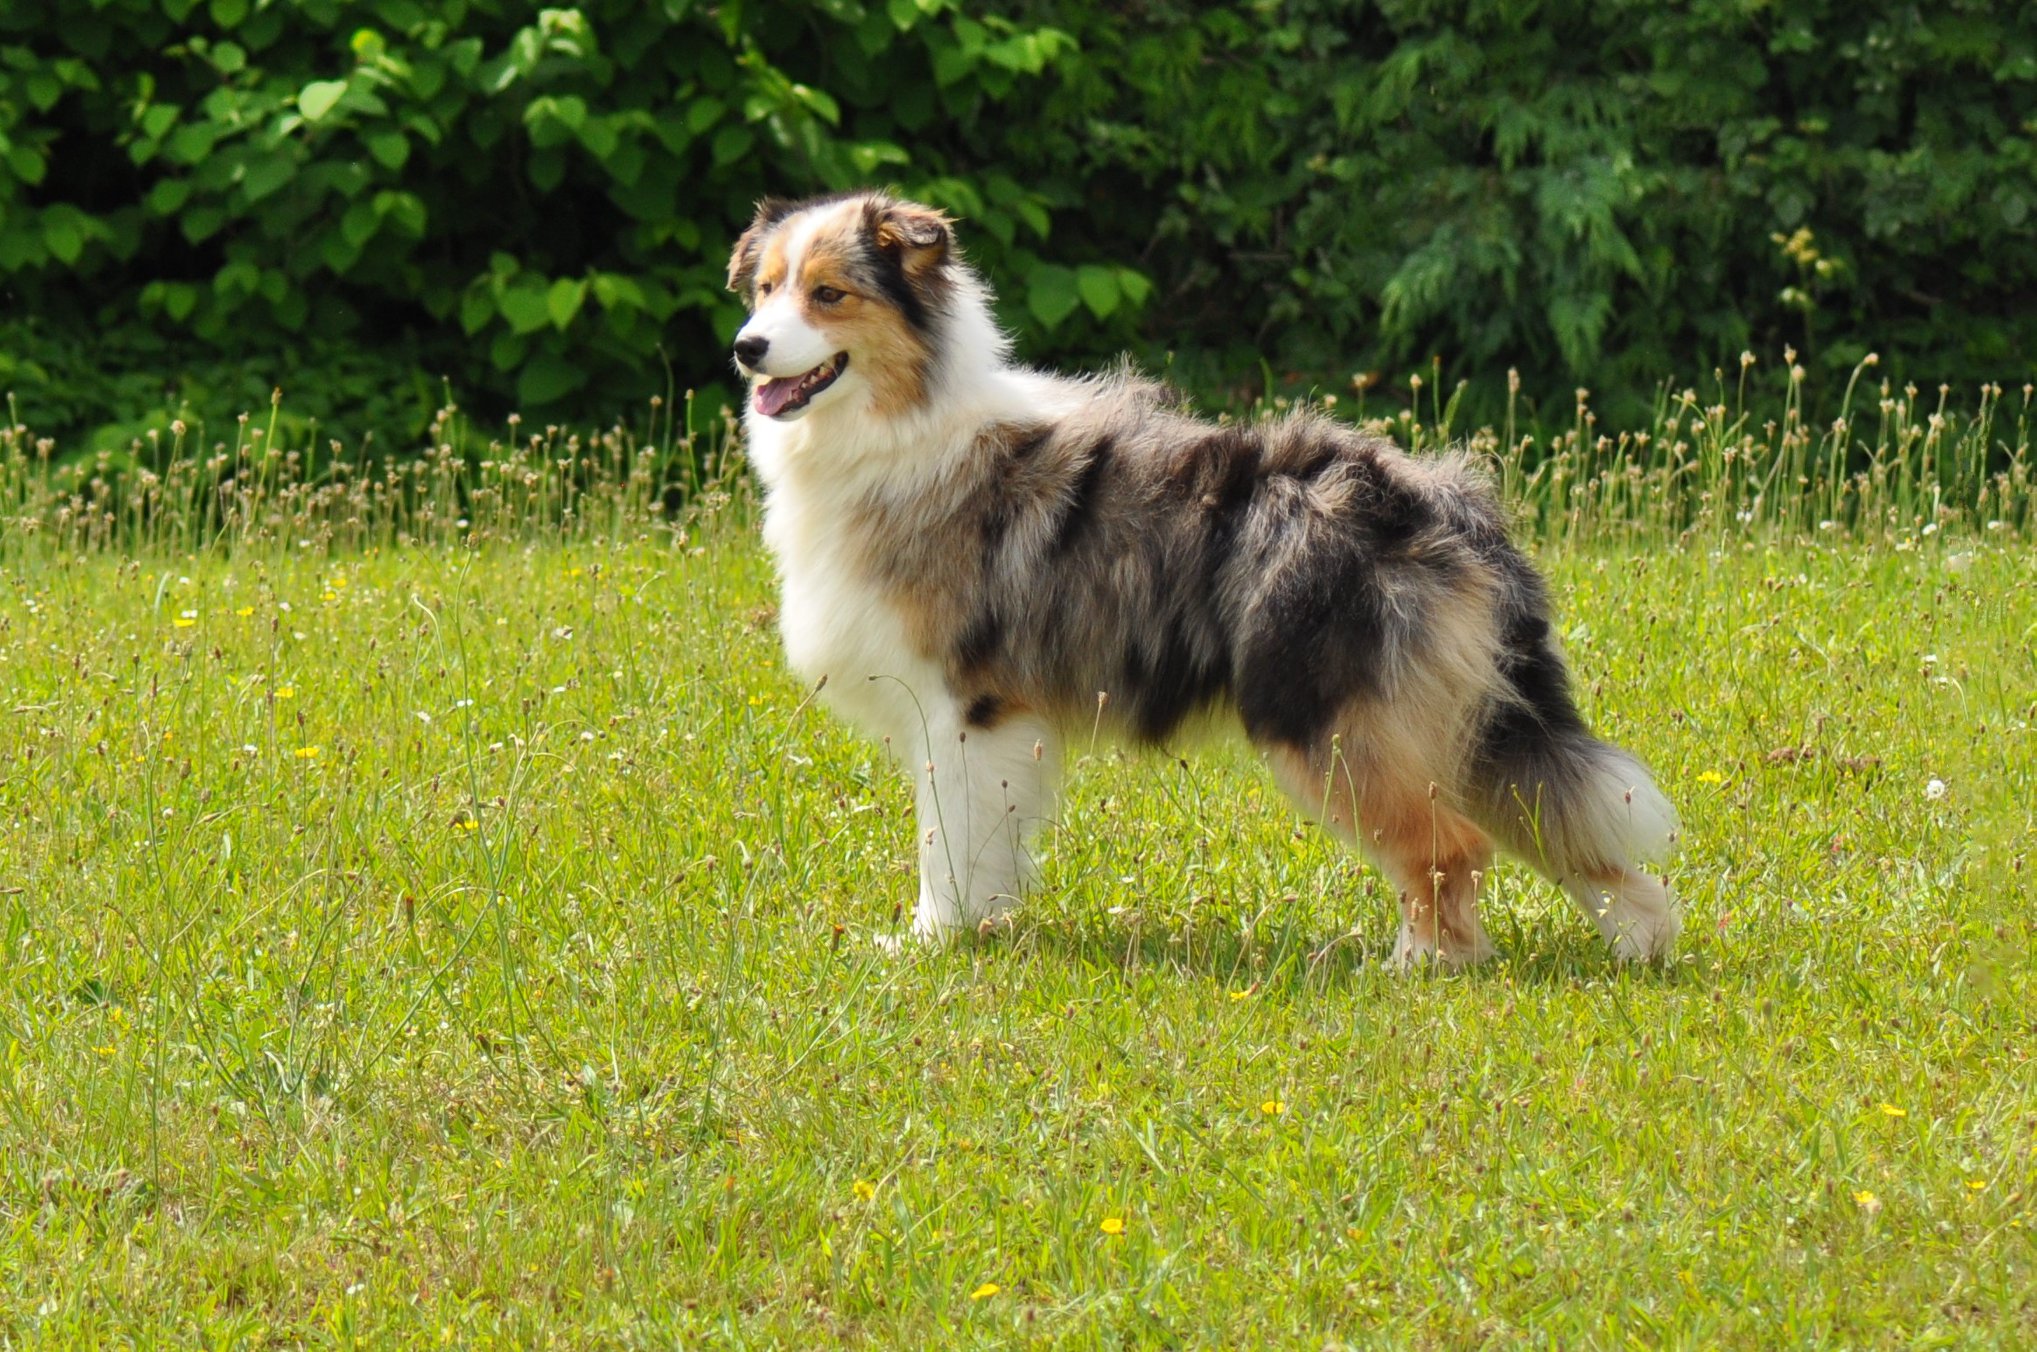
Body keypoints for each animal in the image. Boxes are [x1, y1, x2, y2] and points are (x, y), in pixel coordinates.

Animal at [725, 192, 1678, 973]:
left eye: (829, 294)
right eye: (763, 289)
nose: (745, 348)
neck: (899, 425)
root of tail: (1440, 502)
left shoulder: (964, 708)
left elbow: (947, 846)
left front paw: (932, 942)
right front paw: (972, 932)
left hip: (1328, 721)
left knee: (1452, 846)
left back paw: (1416, 966)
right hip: (1452, 714)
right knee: (1567, 830)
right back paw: (1639, 944)